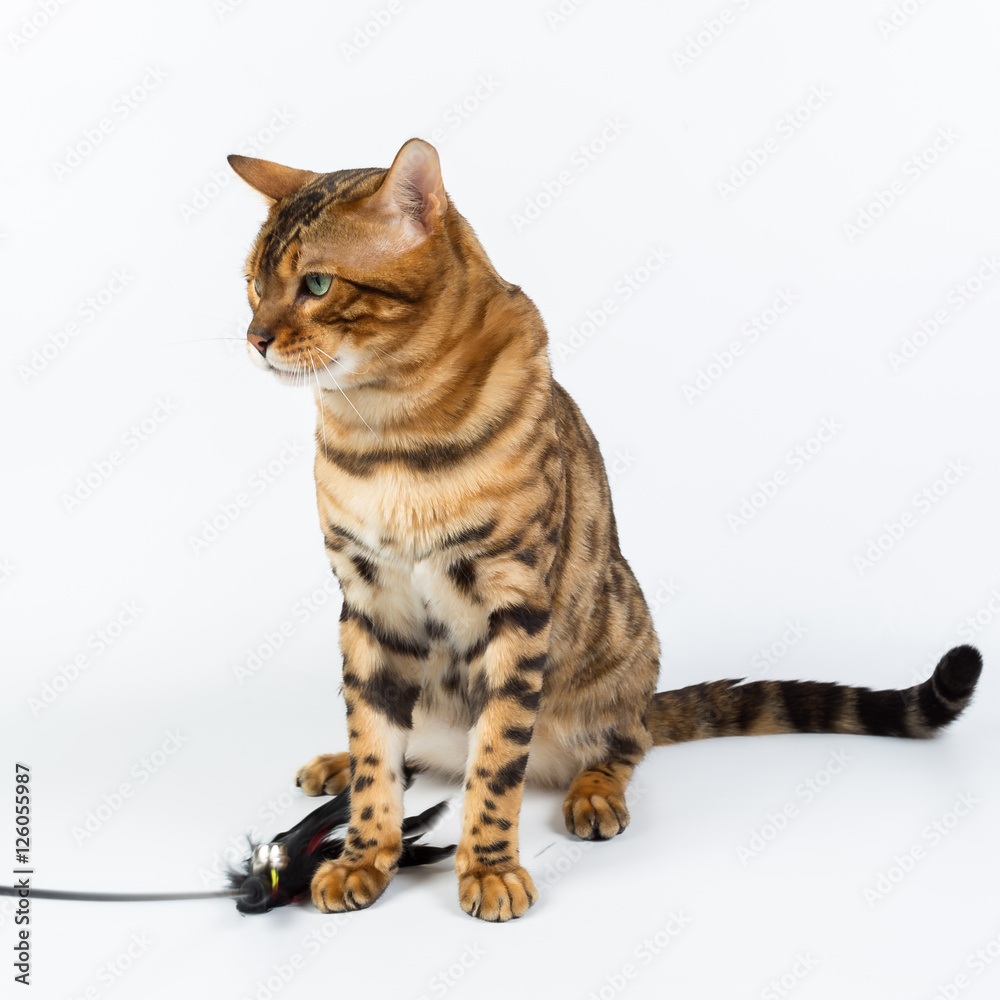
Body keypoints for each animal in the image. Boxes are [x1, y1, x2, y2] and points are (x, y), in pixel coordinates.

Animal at [227, 139, 984, 920]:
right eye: (252, 285)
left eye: (316, 284)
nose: (253, 338)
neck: (388, 431)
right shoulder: (368, 604)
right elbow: (376, 747)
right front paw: (362, 855)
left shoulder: (516, 602)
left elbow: (496, 762)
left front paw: (489, 867)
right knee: (395, 739)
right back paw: (338, 762)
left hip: (623, 640)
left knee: (624, 743)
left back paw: (593, 794)